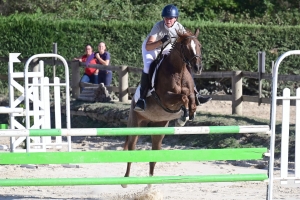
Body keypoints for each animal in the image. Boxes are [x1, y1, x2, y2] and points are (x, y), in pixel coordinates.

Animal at [122, 28, 204, 188]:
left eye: (199, 45)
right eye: (185, 47)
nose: (197, 68)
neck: (178, 71)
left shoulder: (189, 92)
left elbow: (191, 98)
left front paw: (189, 114)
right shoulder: (166, 98)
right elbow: (183, 98)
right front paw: (183, 117)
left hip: (158, 128)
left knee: (154, 153)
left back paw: (150, 186)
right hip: (135, 124)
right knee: (131, 149)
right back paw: (126, 181)